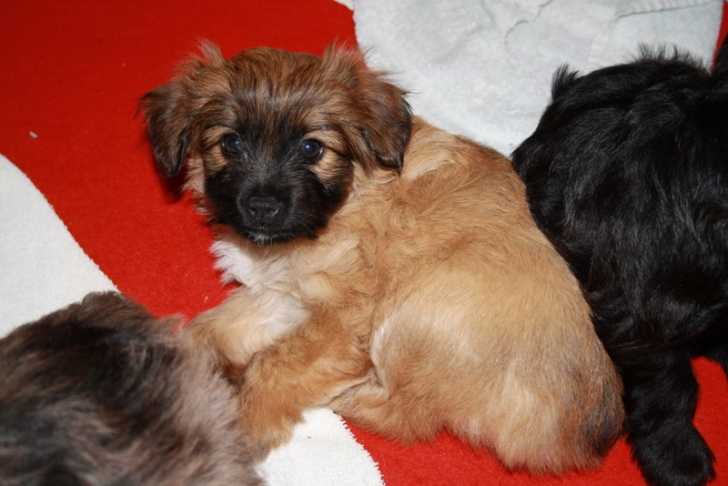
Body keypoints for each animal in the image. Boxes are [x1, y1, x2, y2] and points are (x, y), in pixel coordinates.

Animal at [142, 43, 624, 473]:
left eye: (311, 148)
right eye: (231, 143)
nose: (263, 207)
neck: (346, 196)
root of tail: (573, 438)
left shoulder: (341, 321)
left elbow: (272, 366)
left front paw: (234, 430)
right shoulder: (283, 296)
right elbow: (209, 330)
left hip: (416, 308)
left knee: (405, 416)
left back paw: (346, 398)